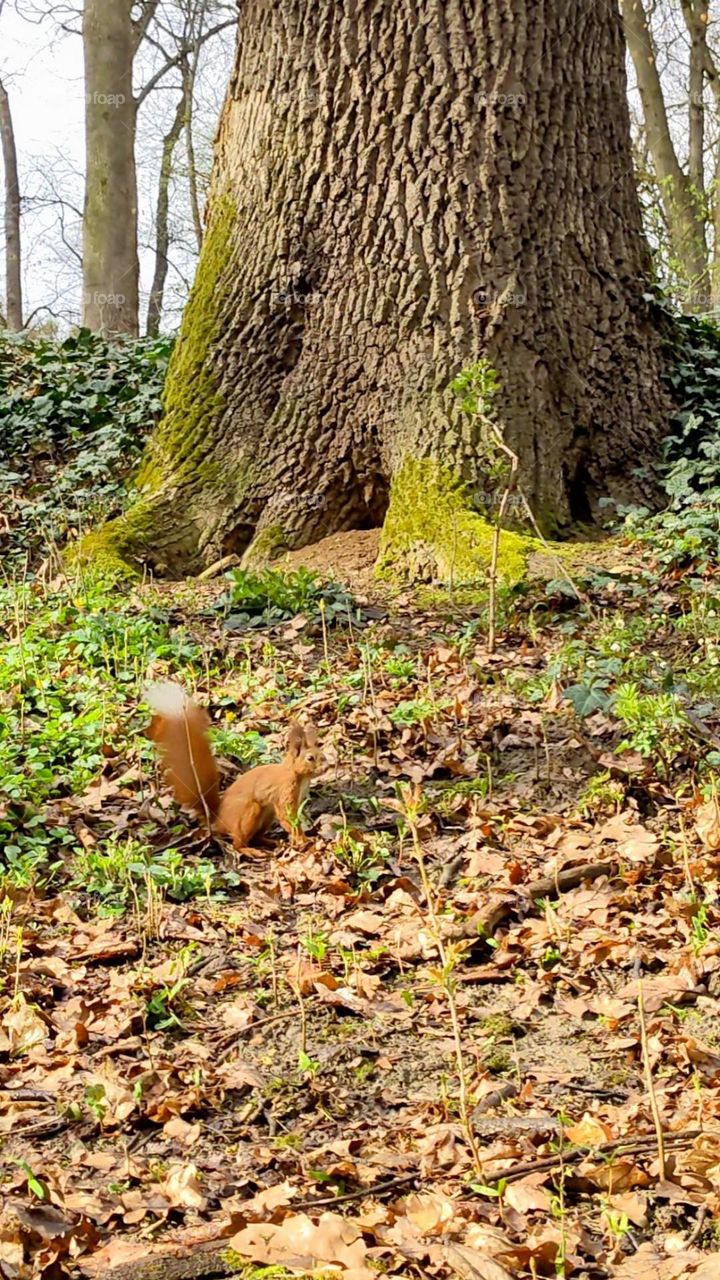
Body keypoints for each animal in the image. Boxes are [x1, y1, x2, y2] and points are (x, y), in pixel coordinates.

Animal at [145, 682, 320, 855]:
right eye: (310, 758)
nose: (326, 765)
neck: (296, 774)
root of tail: (218, 820)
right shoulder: (285, 789)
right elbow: (287, 816)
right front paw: (303, 839)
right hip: (249, 814)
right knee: (237, 842)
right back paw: (250, 850)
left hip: (267, 814)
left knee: (256, 837)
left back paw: (270, 842)